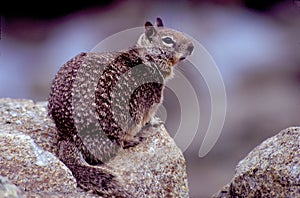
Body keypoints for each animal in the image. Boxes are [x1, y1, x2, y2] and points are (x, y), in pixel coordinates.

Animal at [47, 17, 195, 196]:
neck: (148, 58)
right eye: (168, 40)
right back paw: (136, 138)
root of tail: (67, 135)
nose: (192, 46)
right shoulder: (151, 100)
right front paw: (155, 123)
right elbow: (149, 116)